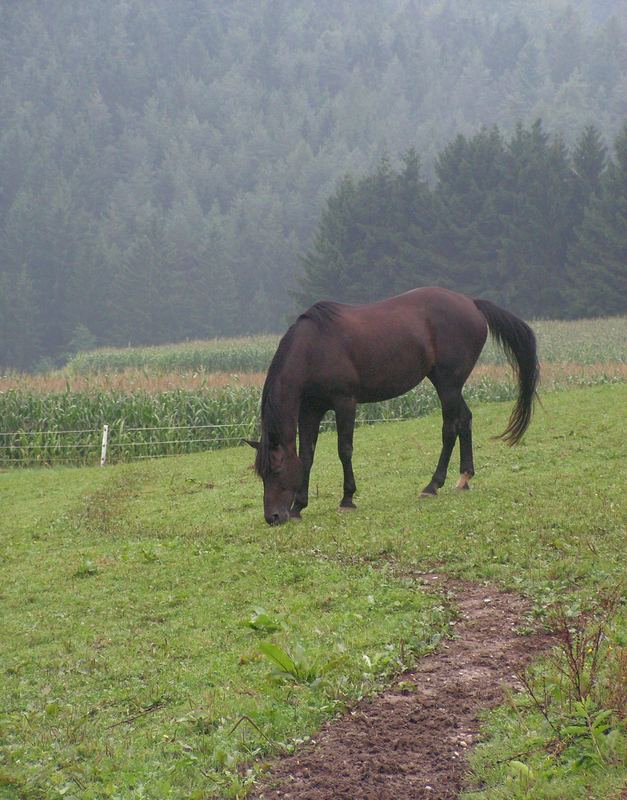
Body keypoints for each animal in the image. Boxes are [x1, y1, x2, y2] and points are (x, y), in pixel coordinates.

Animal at [247, 286, 540, 524]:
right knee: (465, 420)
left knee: (450, 428)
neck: (314, 347)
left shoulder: (345, 402)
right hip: (449, 385)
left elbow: (344, 449)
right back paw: (464, 478)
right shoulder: (310, 410)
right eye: (262, 474)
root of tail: (471, 303)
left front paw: (347, 499)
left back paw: (432, 485)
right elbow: (306, 455)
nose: (273, 517)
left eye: (277, 470)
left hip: (448, 384)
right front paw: (299, 506)